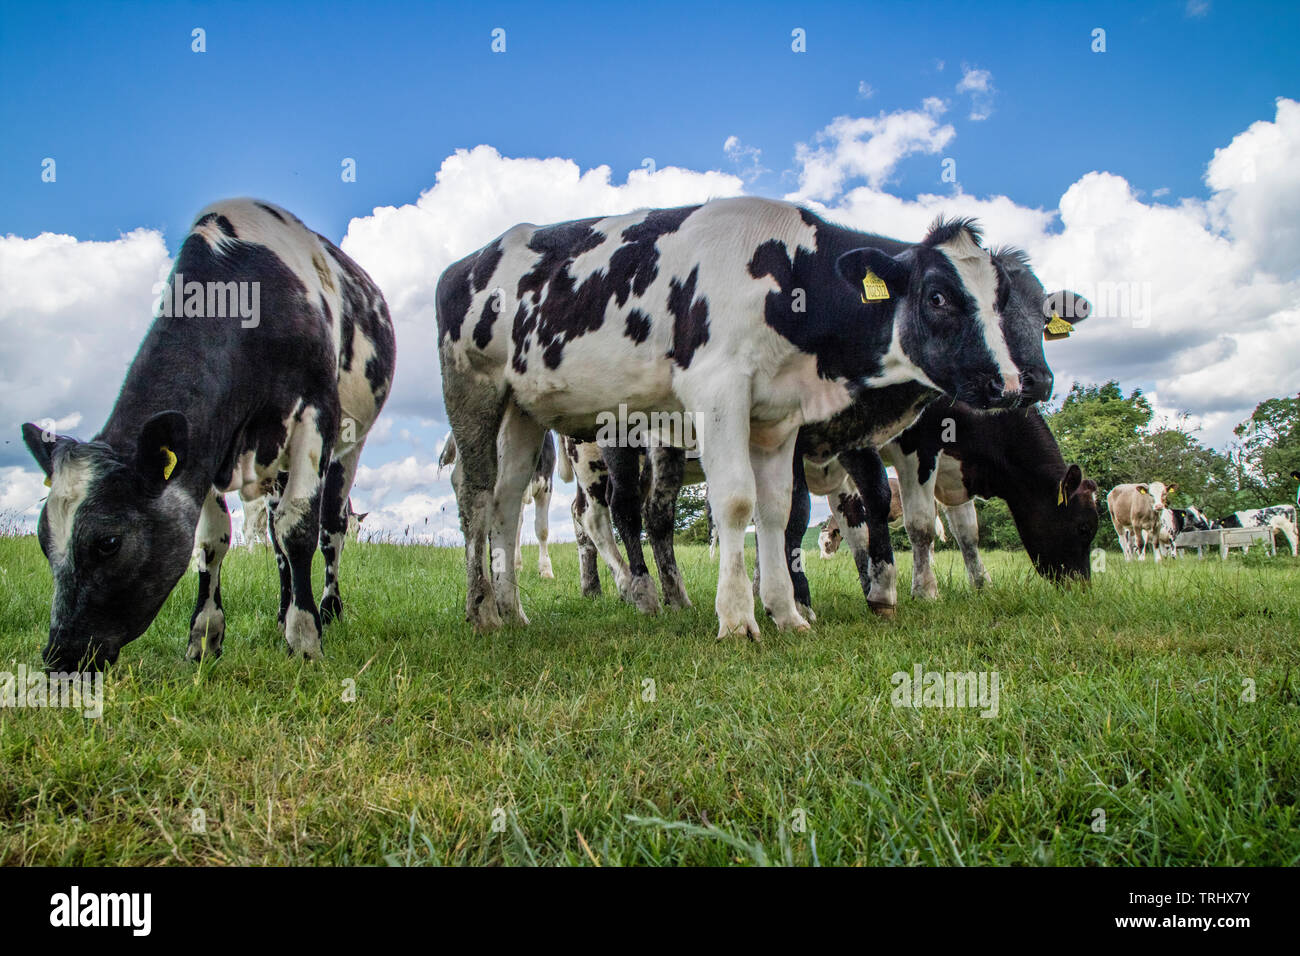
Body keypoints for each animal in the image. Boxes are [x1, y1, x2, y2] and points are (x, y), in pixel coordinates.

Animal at [22, 199, 395, 670]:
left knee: (329, 529)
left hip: (350, 445)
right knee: (274, 538)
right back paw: (281, 612)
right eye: (42, 539)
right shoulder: (204, 448)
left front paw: (306, 637)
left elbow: (299, 528)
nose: (60, 656)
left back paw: (327, 609)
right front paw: (204, 637)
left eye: (108, 542)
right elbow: (212, 540)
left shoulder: (316, 415)